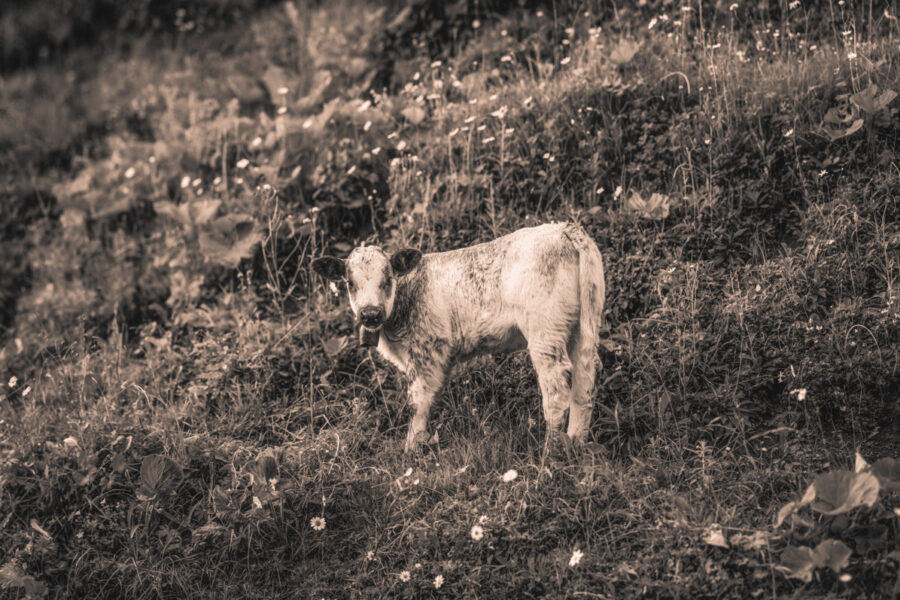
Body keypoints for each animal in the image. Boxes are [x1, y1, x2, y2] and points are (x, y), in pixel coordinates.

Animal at [312, 223, 608, 452]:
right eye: (350, 283)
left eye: (388, 278)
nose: (370, 313)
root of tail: (565, 229)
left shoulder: (427, 351)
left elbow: (417, 402)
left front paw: (411, 450)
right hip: (586, 323)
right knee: (585, 380)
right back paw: (575, 444)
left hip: (544, 330)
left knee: (556, 387)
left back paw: (551, 451)